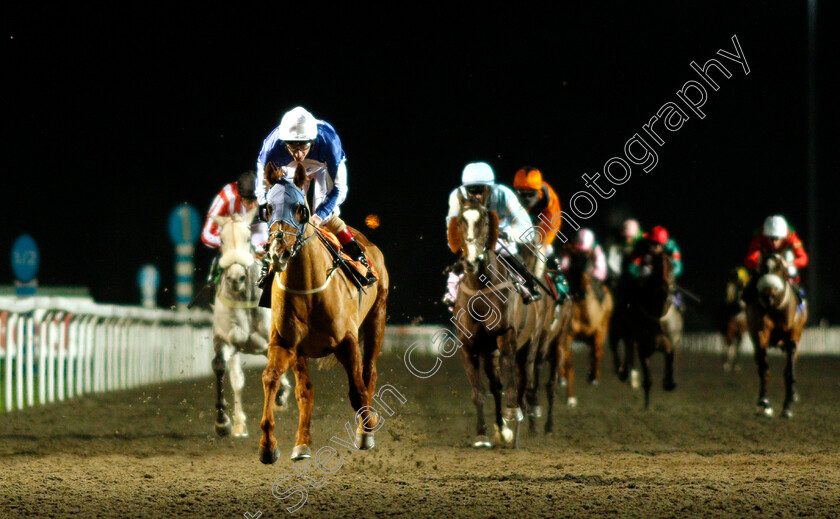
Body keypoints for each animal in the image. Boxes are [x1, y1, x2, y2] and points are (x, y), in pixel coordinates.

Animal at [210, 207, 292, 438]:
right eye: (221, 239)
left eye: (248, 238)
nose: (236, 278)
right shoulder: (225, 339)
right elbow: (220, 367)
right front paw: (223, 422)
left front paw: (282, 394)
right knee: (237, 380)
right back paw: (239, 423)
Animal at [258, 167, 388, 464]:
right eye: (267, 208)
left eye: (300, 209)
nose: (278, 252)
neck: (309, 288)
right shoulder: (287, 344)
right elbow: (274, 379)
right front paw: (269, 445)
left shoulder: (347, 341)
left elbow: (357, 390)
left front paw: (367, 430)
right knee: (305, 391)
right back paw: (302, 443)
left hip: (378, 315)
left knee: (369, 372)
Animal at [628, 252, 680, 410]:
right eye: (658, 268)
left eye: (672, 267)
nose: (666, 289)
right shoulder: (643, 348)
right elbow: (647, 379)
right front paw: (646, 406)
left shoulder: (670, 344)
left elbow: (670, 363)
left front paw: (669, 382)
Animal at [748, 252, 808, 418]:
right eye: (762, 269)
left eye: (780, 269)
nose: (769, 295)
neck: (775, 306)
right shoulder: (761, 332)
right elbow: (764, 368)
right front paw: (764, 402)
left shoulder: (792, 335)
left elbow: (789, 371)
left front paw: (787, 406)